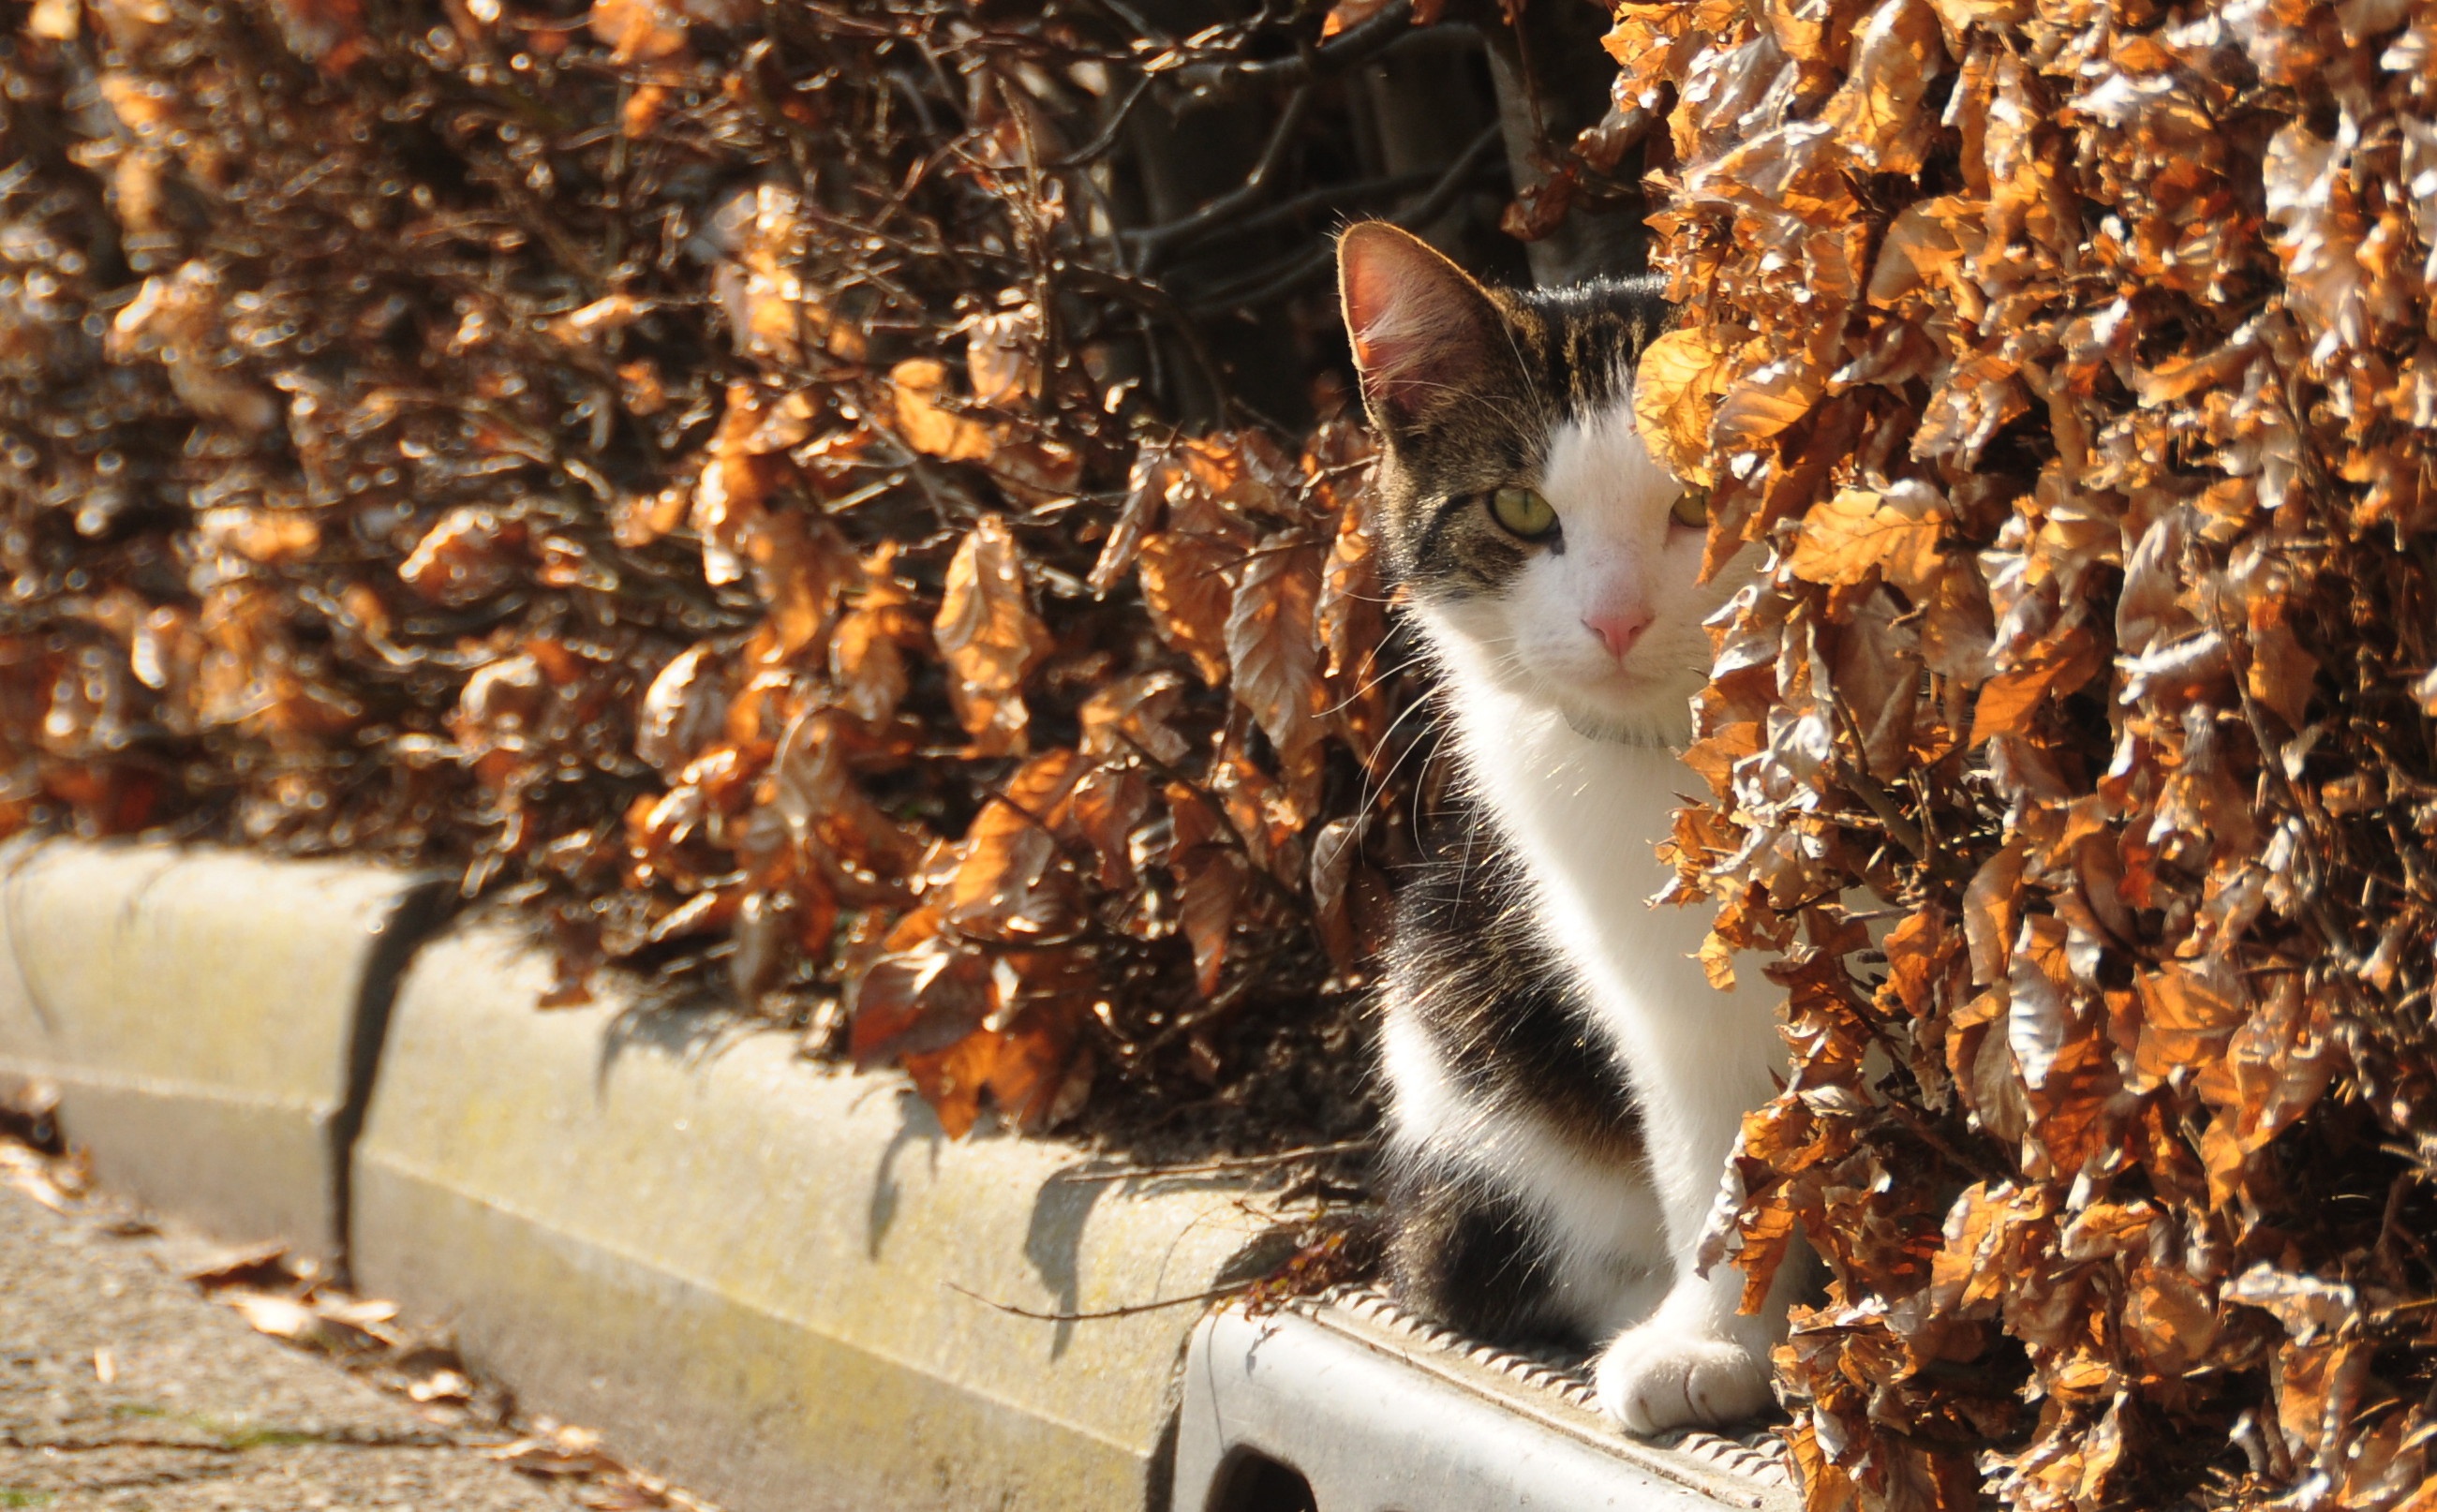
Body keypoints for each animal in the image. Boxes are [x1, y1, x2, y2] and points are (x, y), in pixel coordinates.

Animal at [1345, 217, 1803, 1431]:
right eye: (1518, 509)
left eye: (1704, 498)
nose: (1615, 620)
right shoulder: (1664, 995)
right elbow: (1725, 1153)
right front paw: (1713, 1341)